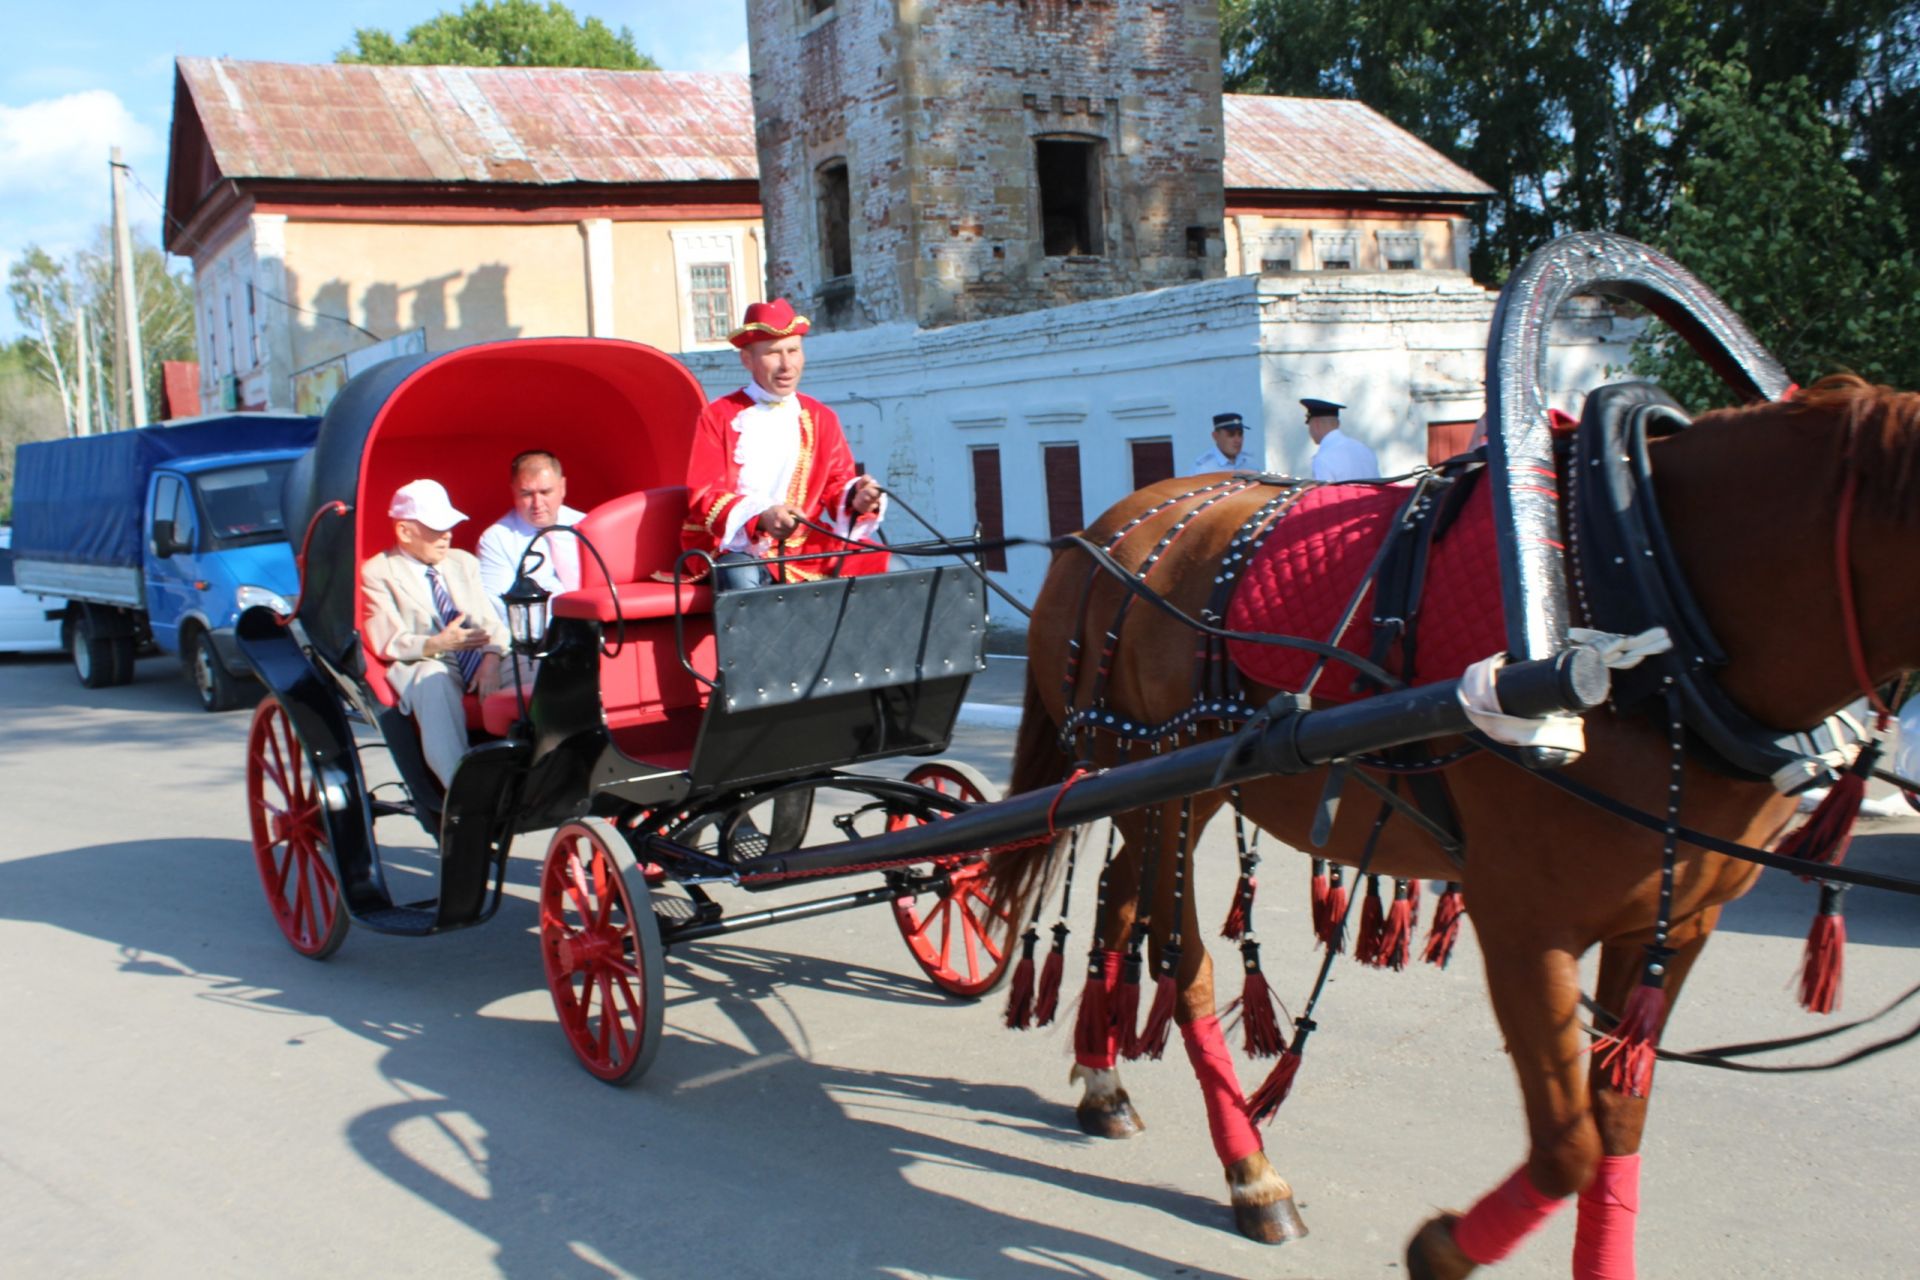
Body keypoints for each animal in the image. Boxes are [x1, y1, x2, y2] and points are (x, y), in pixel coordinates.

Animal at [990, 376, 1920, 1274]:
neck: (1652, 608)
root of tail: (1097, 534)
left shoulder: (1675, 924)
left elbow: (1617, 1127)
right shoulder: (1524, 925)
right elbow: (1569, 1148)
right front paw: (1441, 1249)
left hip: (1157, 792)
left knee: (1122, 903)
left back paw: (1104, 1083)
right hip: (1149, 779)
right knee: (1181, 957)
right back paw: (1251, 1173)